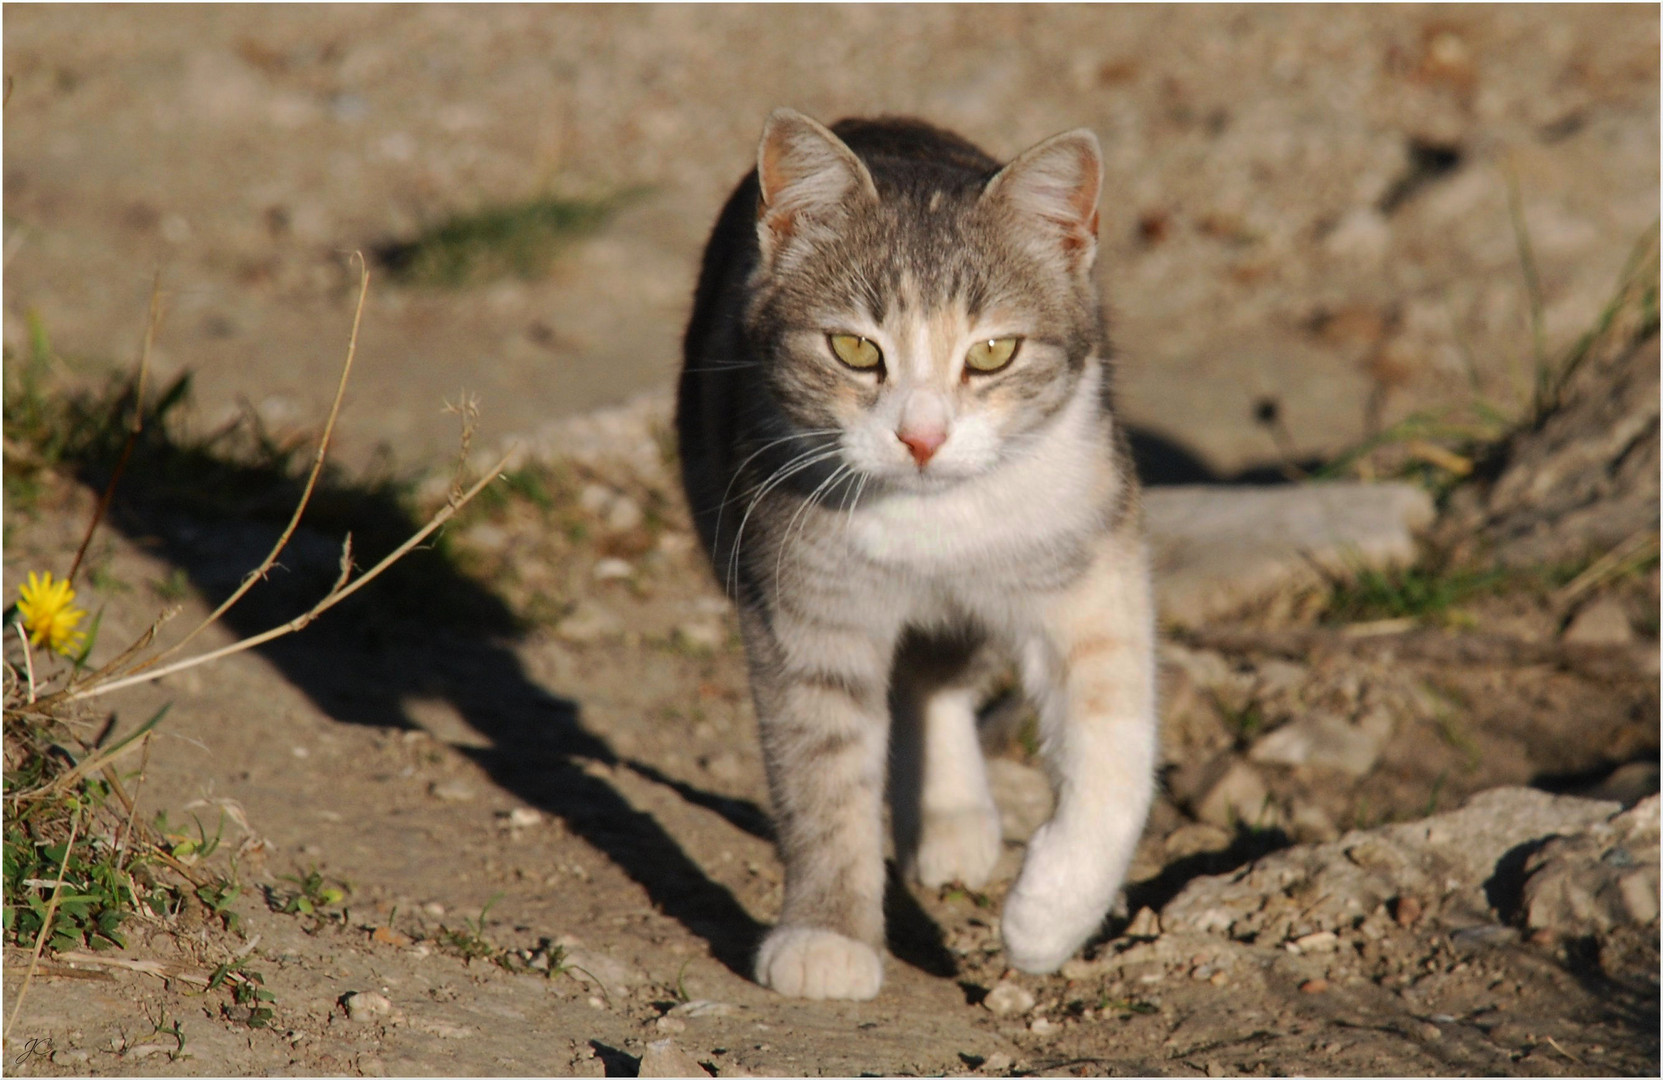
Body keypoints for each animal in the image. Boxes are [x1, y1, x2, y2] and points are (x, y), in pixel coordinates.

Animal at [675, 109, 1157, 1005]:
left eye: (993, 352)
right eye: (854, 351)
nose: (922, 437)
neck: (936, 518)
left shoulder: (1089, 563)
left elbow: (1113, 746)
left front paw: (1048, 917)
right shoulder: (800, 602)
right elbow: (823, 774)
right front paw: (827, 936)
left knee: (936, 676)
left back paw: (954, 821)